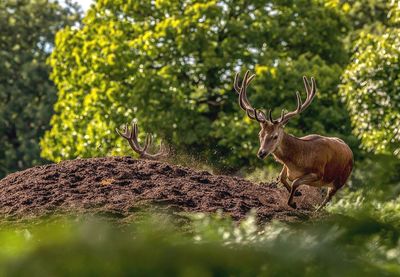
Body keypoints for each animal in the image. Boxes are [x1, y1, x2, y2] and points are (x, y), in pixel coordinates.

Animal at [234, 70, 354, 209]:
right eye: (260, 134)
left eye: (275, 136)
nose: (261, 153)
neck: (297, 161)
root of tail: (350, 151)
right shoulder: (286, 167)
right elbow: (281, 177)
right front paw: (297, 194)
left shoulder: (318, 173)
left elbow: (295, 182)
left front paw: (292, 202)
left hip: (340, 179)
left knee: (328, 198)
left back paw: (316, 210)